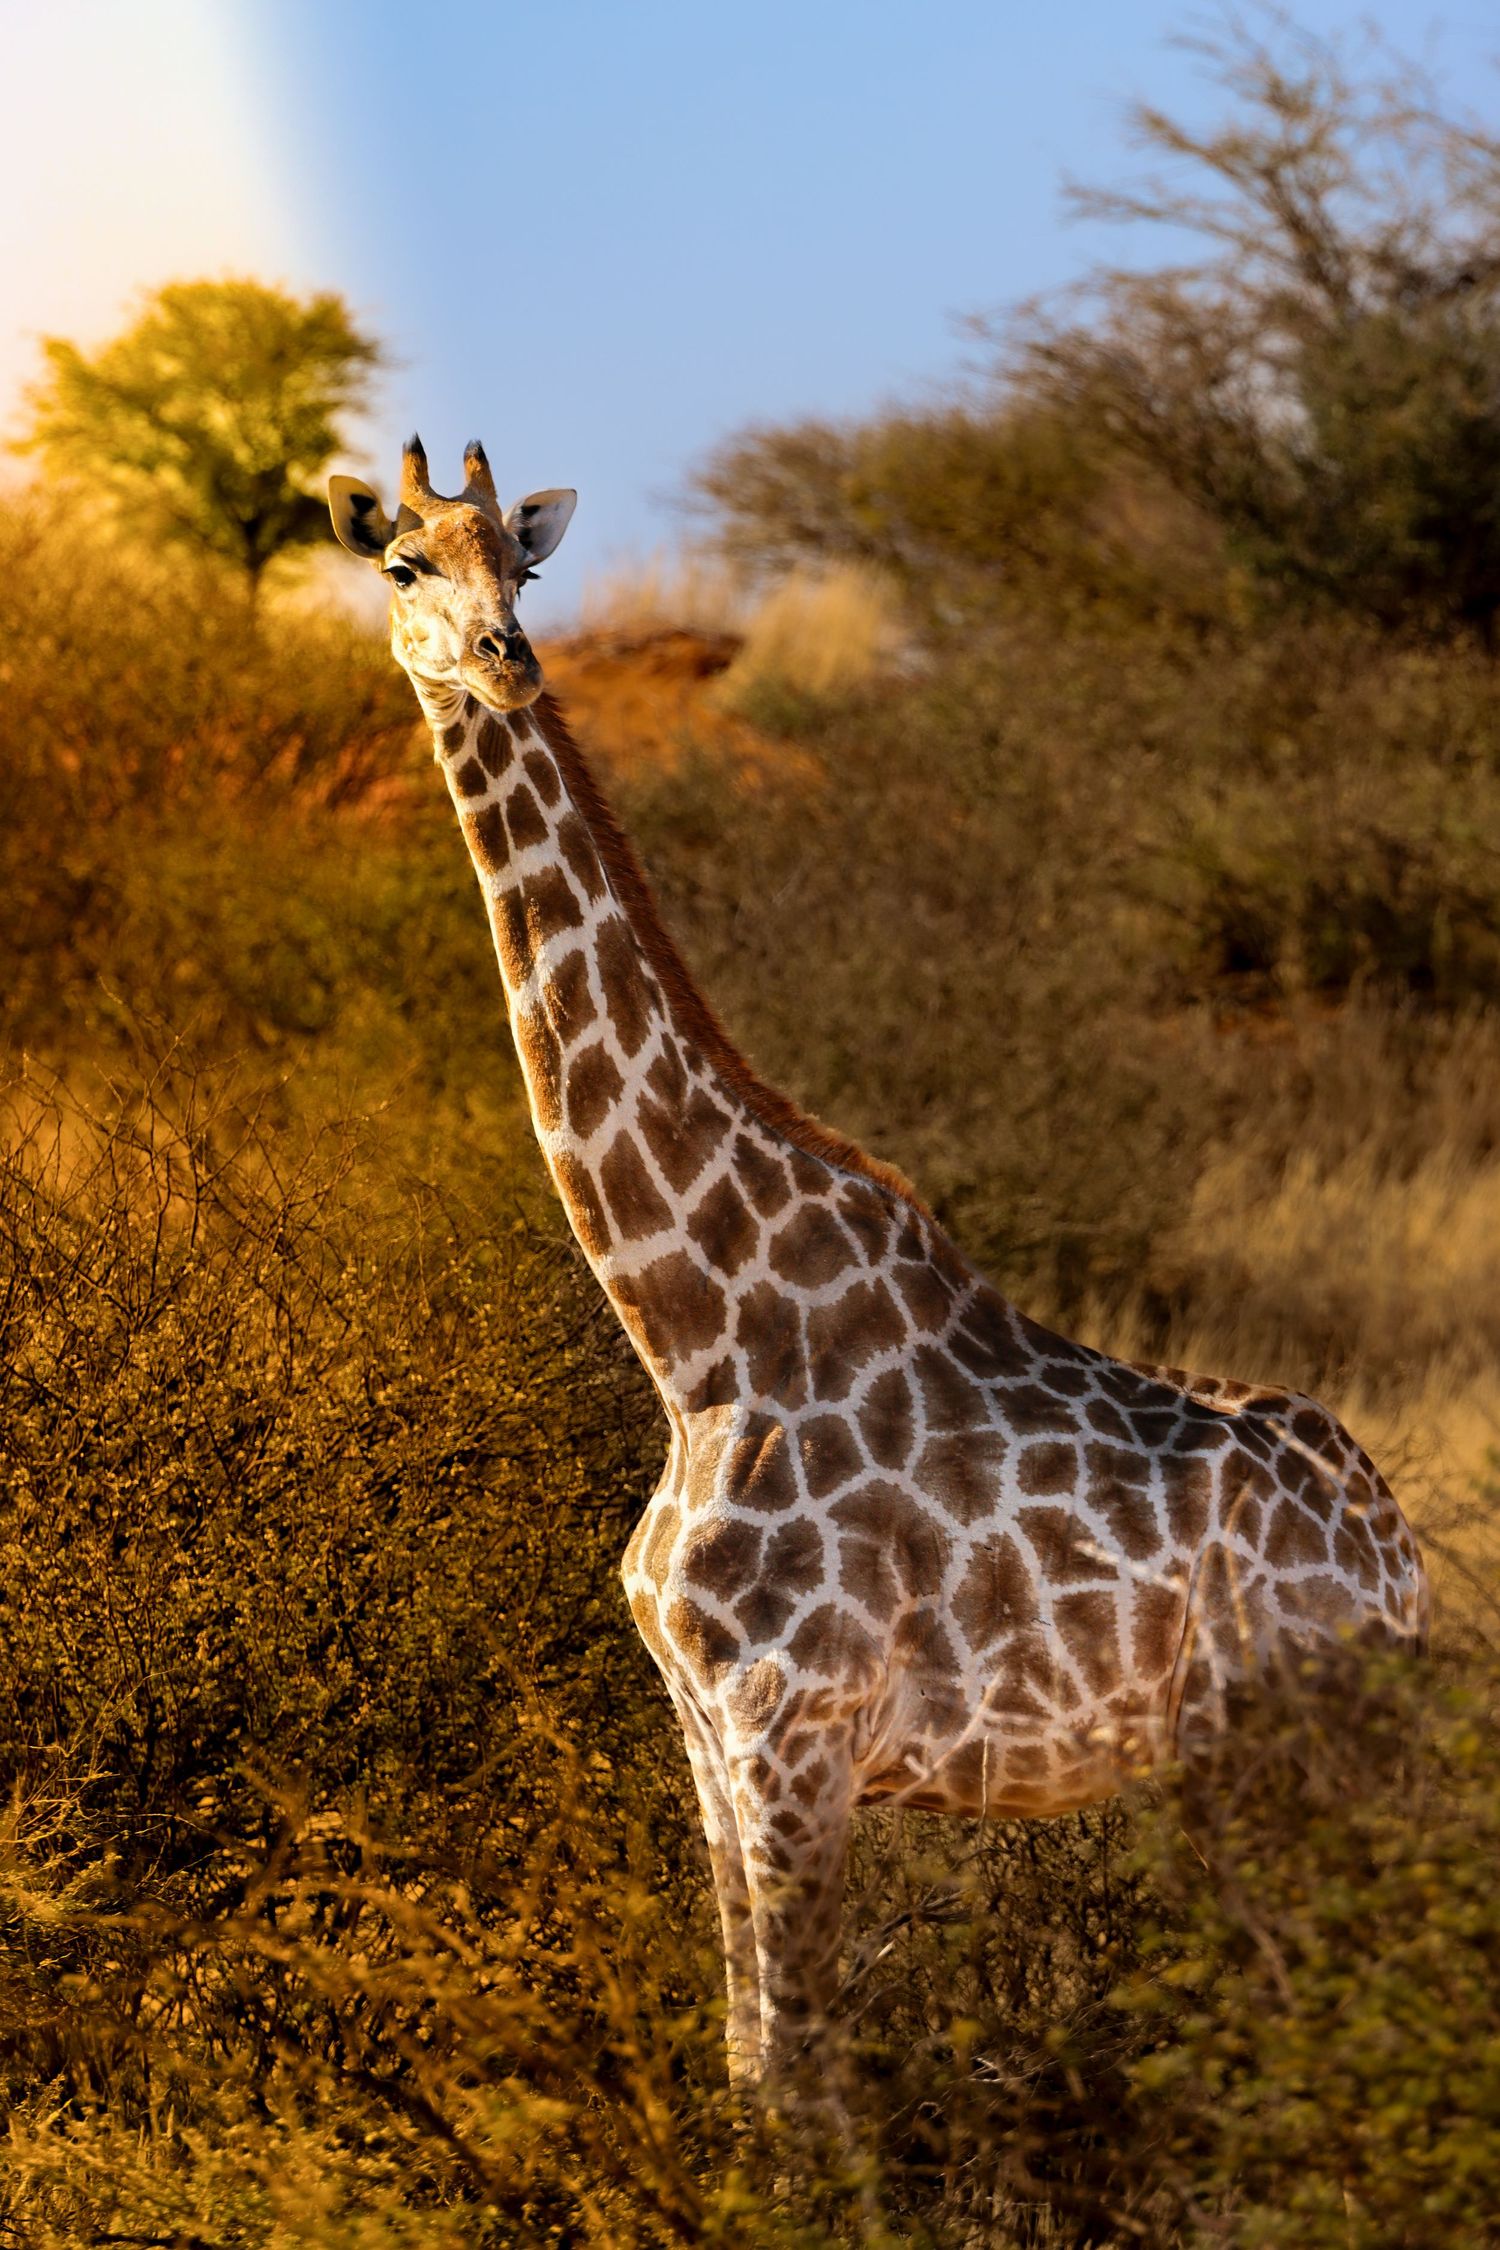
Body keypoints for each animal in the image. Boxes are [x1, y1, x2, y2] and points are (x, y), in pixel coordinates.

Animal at [330, 439, 1429, 2095]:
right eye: (404, 566)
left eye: (520, 569)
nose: (508, 662)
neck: (696, 1336)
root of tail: (1401, 1557)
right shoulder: (709, 1745)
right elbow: (748, 2067)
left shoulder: (797, 1731)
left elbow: (804, 2089)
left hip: (1289, 1742)